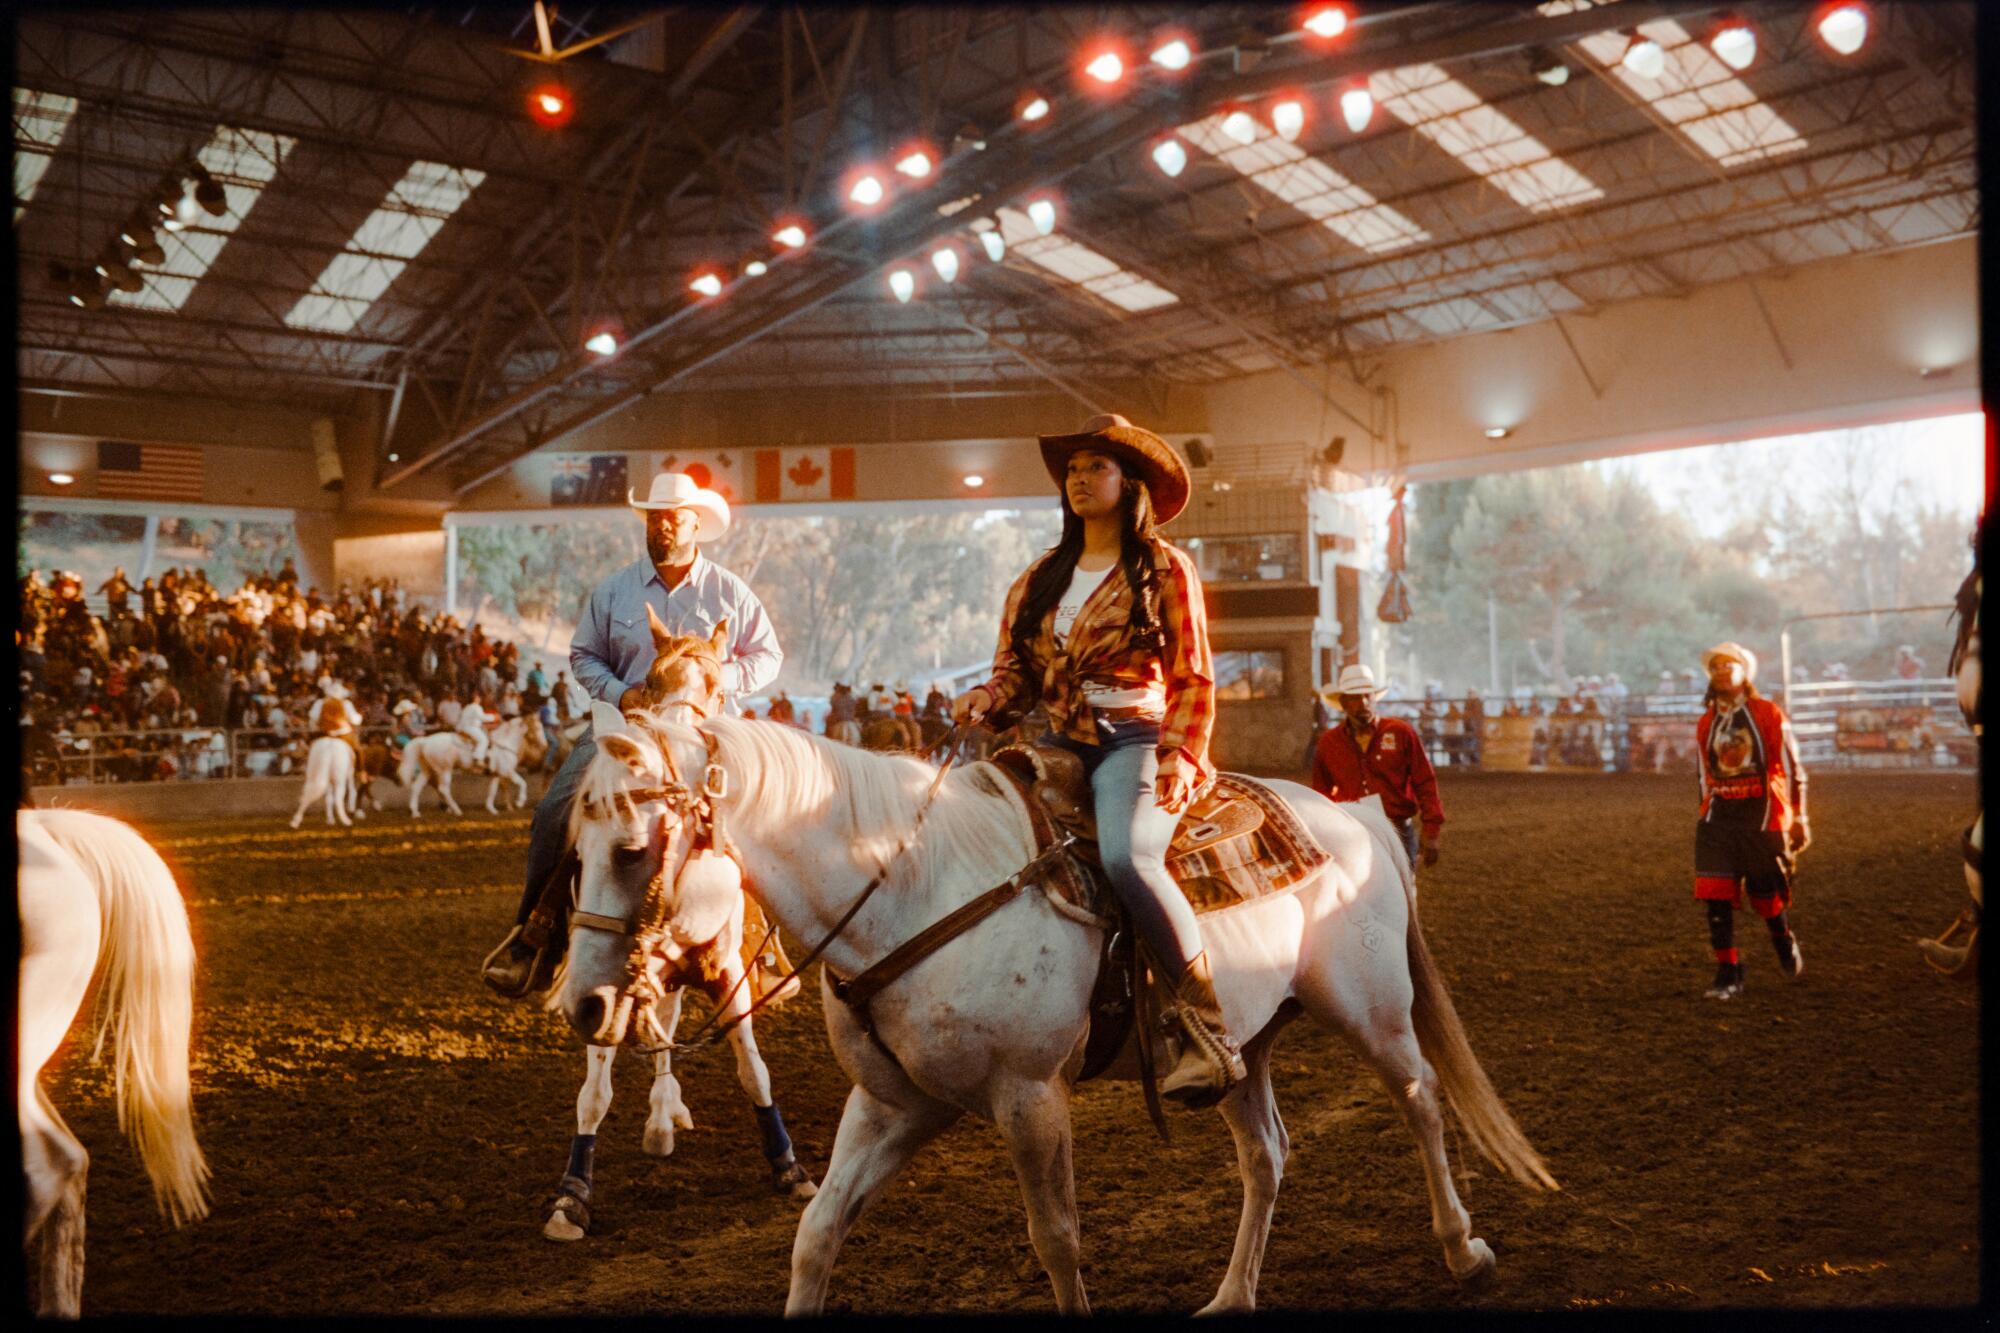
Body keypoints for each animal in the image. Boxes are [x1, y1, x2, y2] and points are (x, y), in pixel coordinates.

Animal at [556, 712, 1552, 1312]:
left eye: (637, 847)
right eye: (575, 849)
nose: (584, 1003)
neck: (911, 889)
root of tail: (1360, 816)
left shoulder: (1030, 1096)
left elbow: (1058, 1240)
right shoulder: (896, 1104)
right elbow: (816, 1234)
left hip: (1373, 1010)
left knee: (1422, 1100)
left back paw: (1463, 1248)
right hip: (1246, 1044)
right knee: (1267, 1155)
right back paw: (1233, 1293)